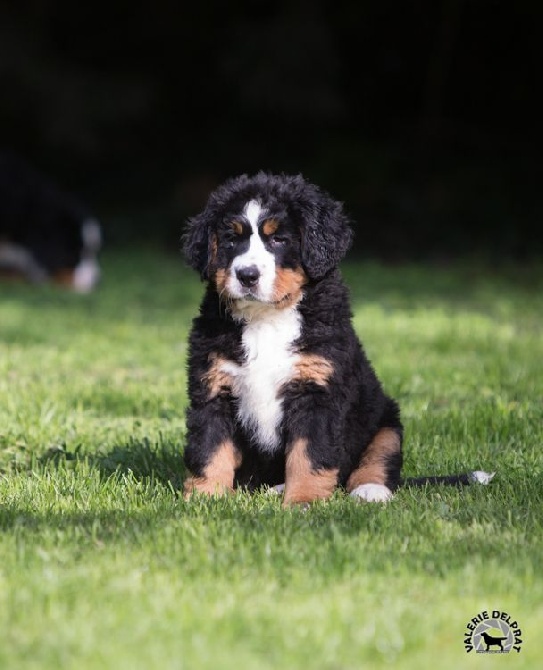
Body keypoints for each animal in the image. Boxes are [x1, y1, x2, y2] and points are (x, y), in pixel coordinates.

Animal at [182, 175, 492, 510]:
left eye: (279, 239)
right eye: (230, 240)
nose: (247, 275)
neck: (266, 319)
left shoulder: (318, 393)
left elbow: (308, 455)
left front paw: (303, 501)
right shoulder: (213, 389)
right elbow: (210, 450)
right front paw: (205, 499)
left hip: (386, 423)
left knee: (377, 461)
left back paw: (369, 490)